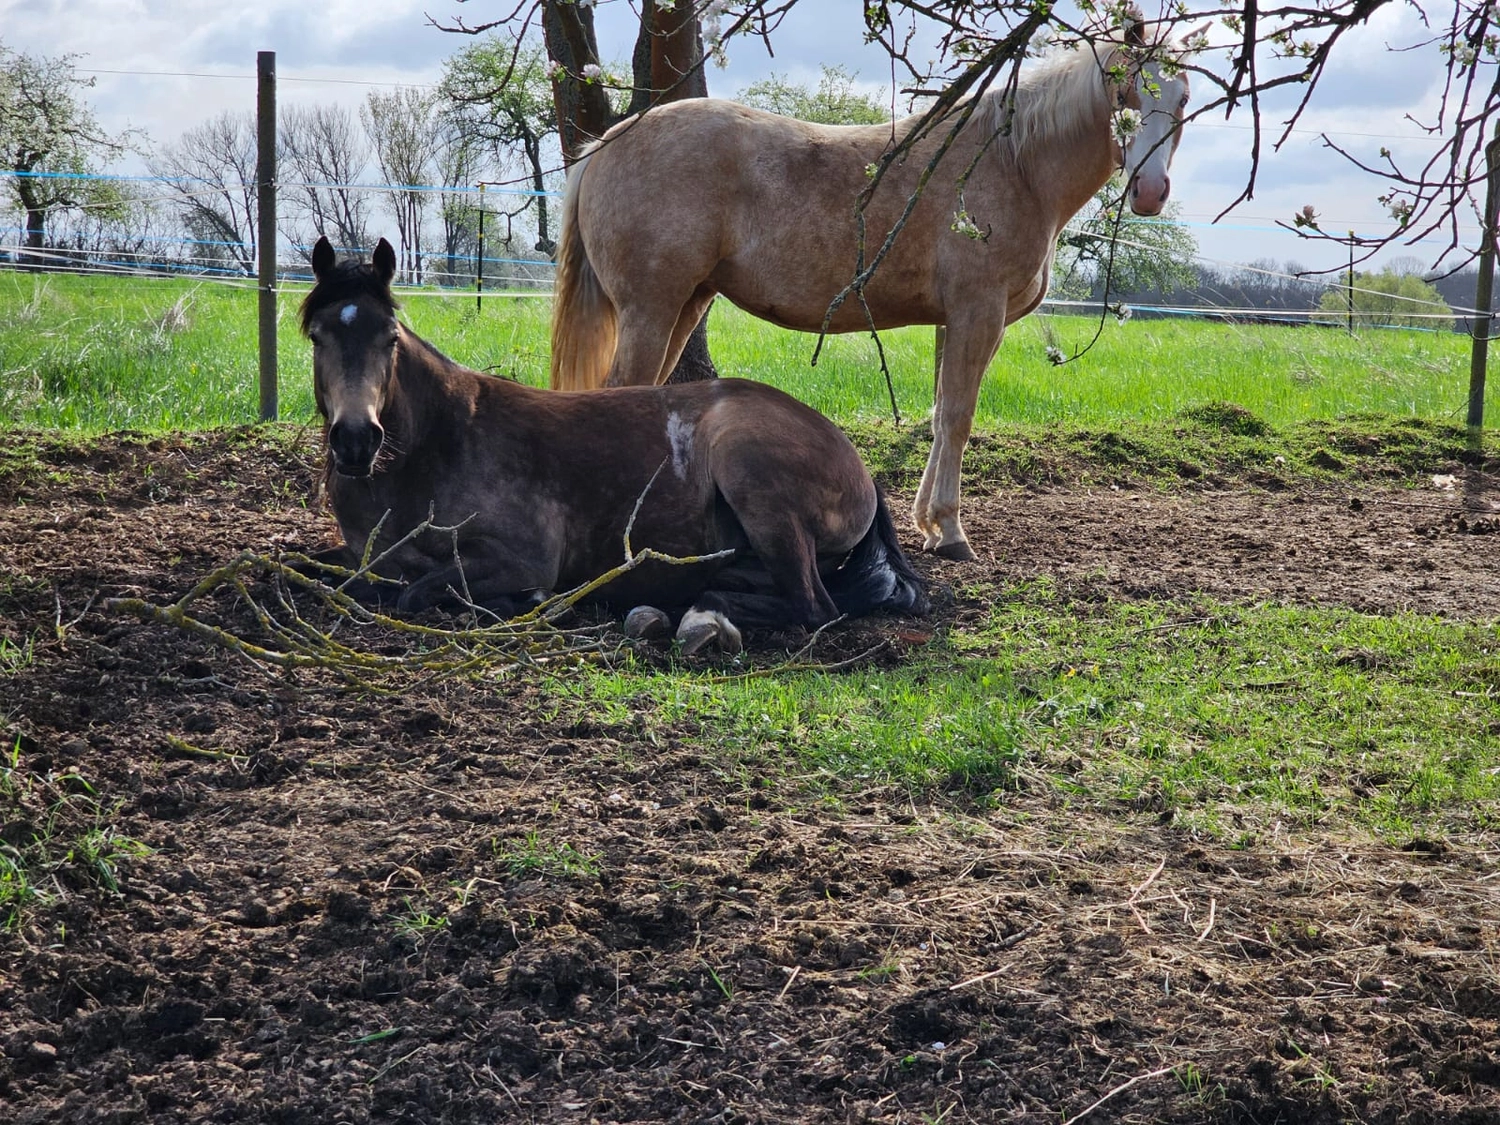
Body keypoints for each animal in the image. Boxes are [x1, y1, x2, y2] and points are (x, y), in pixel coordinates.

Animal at [300, 236, 927, 654]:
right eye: (318, 335)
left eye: (389, 337)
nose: (355, 441)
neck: (440, 447)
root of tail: (860, 468)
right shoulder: (363, 554)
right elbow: (308, 565)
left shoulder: (522, 556)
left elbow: (416, 593)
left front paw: (524, 603)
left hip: (752, 475)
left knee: (813, 606)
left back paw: (695, 616)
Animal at [549, 18, 1192, 561]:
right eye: (1123, 91)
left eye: (1183, 97)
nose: (1150, 191)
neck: (1014, 164)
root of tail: (605, 144)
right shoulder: (977, 313)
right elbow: (958, 417)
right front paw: (951, 531)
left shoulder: (955, 320)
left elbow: (940, 413)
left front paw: (930, 524)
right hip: (650, 310)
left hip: (685, 304)